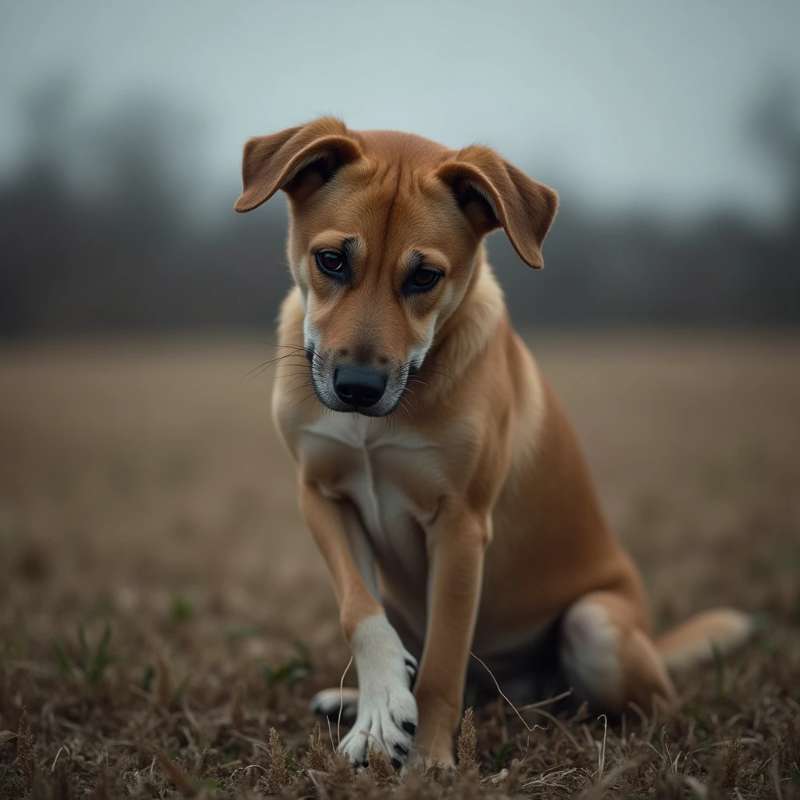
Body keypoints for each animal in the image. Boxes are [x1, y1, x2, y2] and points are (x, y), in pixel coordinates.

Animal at [233, 119, 752, 768]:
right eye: (331, 260)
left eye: (424, 276)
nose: (357, 388)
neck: (379, 423)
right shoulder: (323, 494)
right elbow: (360, 612)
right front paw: (378, 720)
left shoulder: (460, 524)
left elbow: (441, 667)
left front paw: (430, 761)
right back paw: (352, 698)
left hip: (597, 628)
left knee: (648, 699)